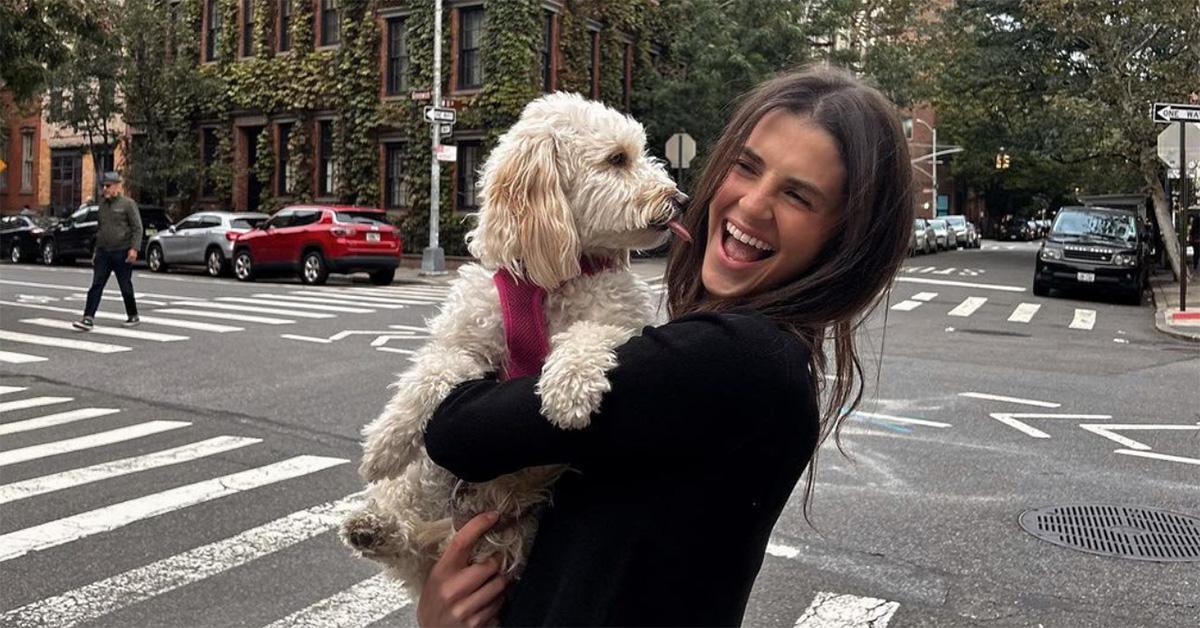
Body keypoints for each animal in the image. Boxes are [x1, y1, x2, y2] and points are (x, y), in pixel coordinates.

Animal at [343, 90, 691, 597]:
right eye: (618, 159)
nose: (681, 199)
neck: (548, 282)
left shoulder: (624, 320)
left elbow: (589, 333)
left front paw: (568, 390)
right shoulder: (466, 336)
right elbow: (432, 372)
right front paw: (383, 445)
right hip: (436, 475)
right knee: (414, 522)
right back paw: (375, 525)